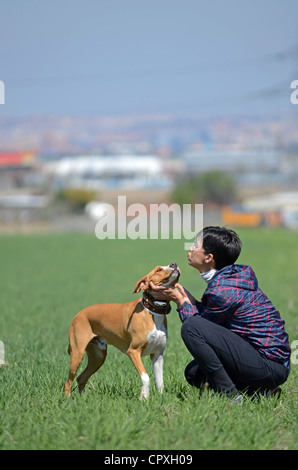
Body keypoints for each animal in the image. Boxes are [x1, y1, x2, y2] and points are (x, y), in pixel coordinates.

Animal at [64, 262, 179, 398]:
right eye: (158, 270)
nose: (174, 264)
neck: (152, 312)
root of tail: (78, 314)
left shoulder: (158, 354)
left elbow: (159, 381)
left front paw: (160, 398)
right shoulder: (133, 351)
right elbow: (146, 377)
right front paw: (144, 397)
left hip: (98, 357)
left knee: (81, 378)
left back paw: (83, 399)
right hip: (77, 354)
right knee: (68, 382)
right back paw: (68, 399)